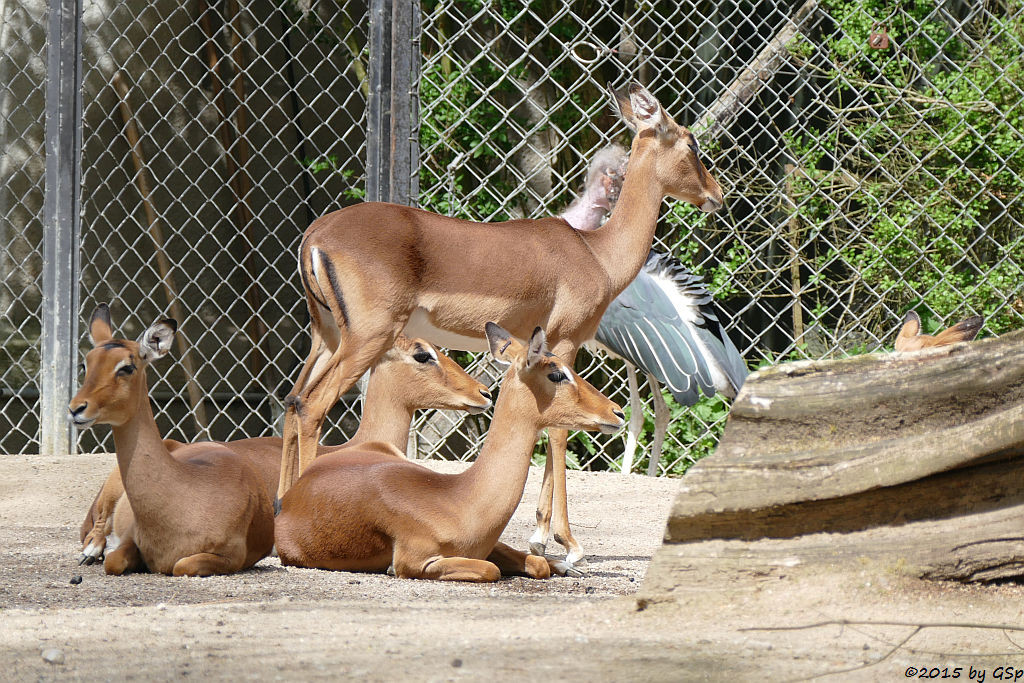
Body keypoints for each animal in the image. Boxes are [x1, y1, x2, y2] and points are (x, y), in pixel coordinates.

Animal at [274, 325, 622, 581]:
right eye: (556, 373)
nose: (616, 411)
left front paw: (565, 564)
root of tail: (289, 497)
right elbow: (492, 570)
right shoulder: (420, 561)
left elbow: (536, 563)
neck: (457, 500)